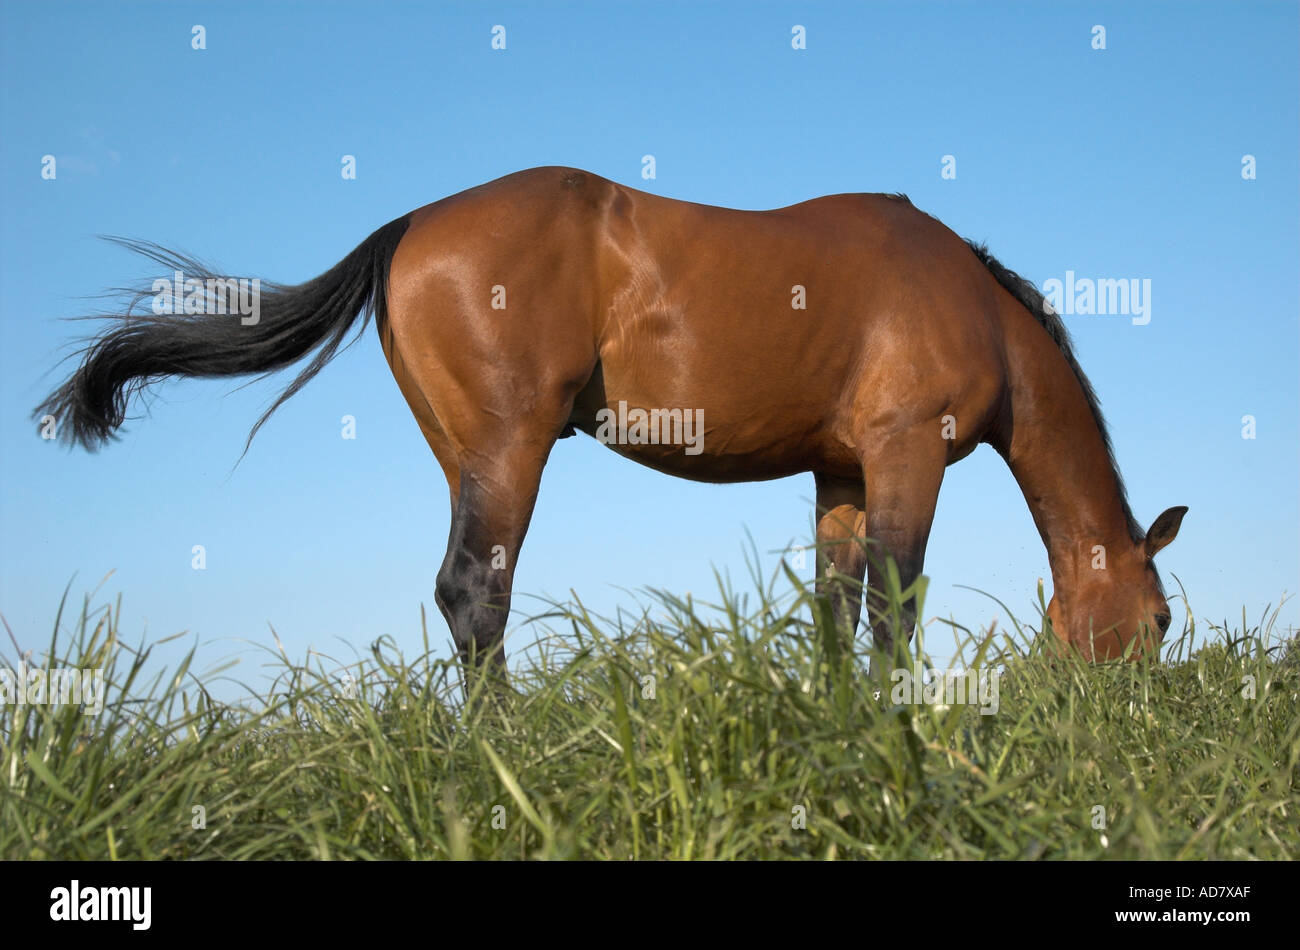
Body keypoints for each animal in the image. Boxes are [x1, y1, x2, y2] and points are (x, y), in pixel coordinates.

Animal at [35, 166, 1186, 674]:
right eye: (1161, 621)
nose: (1119, 724)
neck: (972, 307)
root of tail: (410, 225)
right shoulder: (910, 455)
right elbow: (894, 609)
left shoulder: (842, 472)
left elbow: (832, 606)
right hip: (509, 450)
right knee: (473, 594)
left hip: (467, 453)